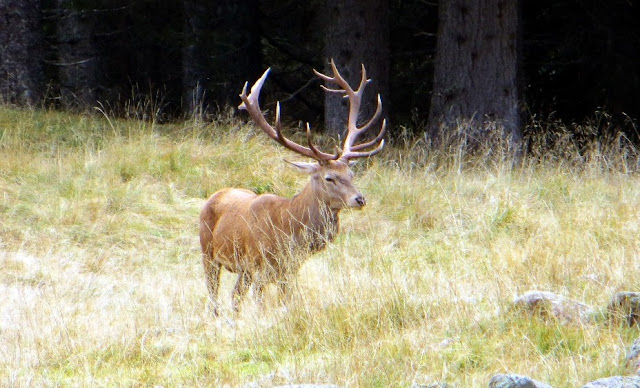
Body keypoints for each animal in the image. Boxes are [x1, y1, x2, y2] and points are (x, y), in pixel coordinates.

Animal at [200, 60, 384, 316]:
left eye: (351, 174)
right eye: (329, 178)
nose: (359, 199)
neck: (289, 231)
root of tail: (215, 194)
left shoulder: (290, 269)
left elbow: (286, 302)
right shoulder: (261, 266)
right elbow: (262, 305)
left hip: (243, 269)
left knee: (235, 296)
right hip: (208, 252)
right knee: (214, 295)